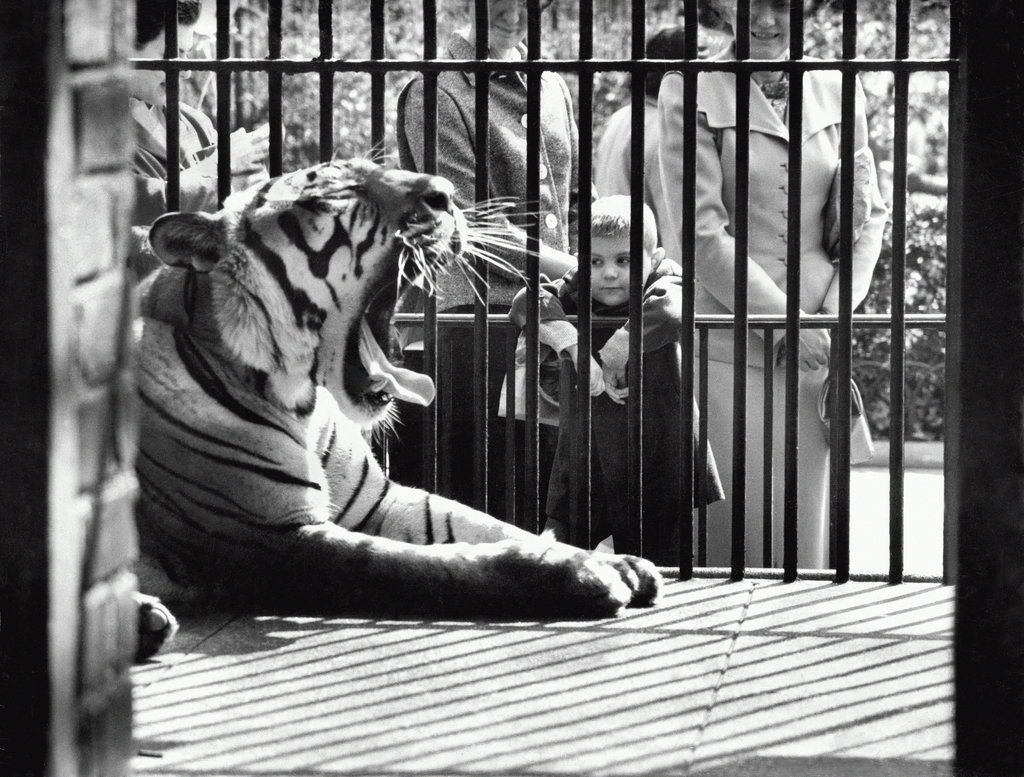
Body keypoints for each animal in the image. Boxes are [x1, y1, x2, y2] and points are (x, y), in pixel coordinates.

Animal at [134, 159, 663, 663]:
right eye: (332, 196)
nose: (446, 194)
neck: (302, 406)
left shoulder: (378, 500)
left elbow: (484, 526)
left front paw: (618, 562)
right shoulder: (269, 538)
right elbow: (425, 565)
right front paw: (581, 573)